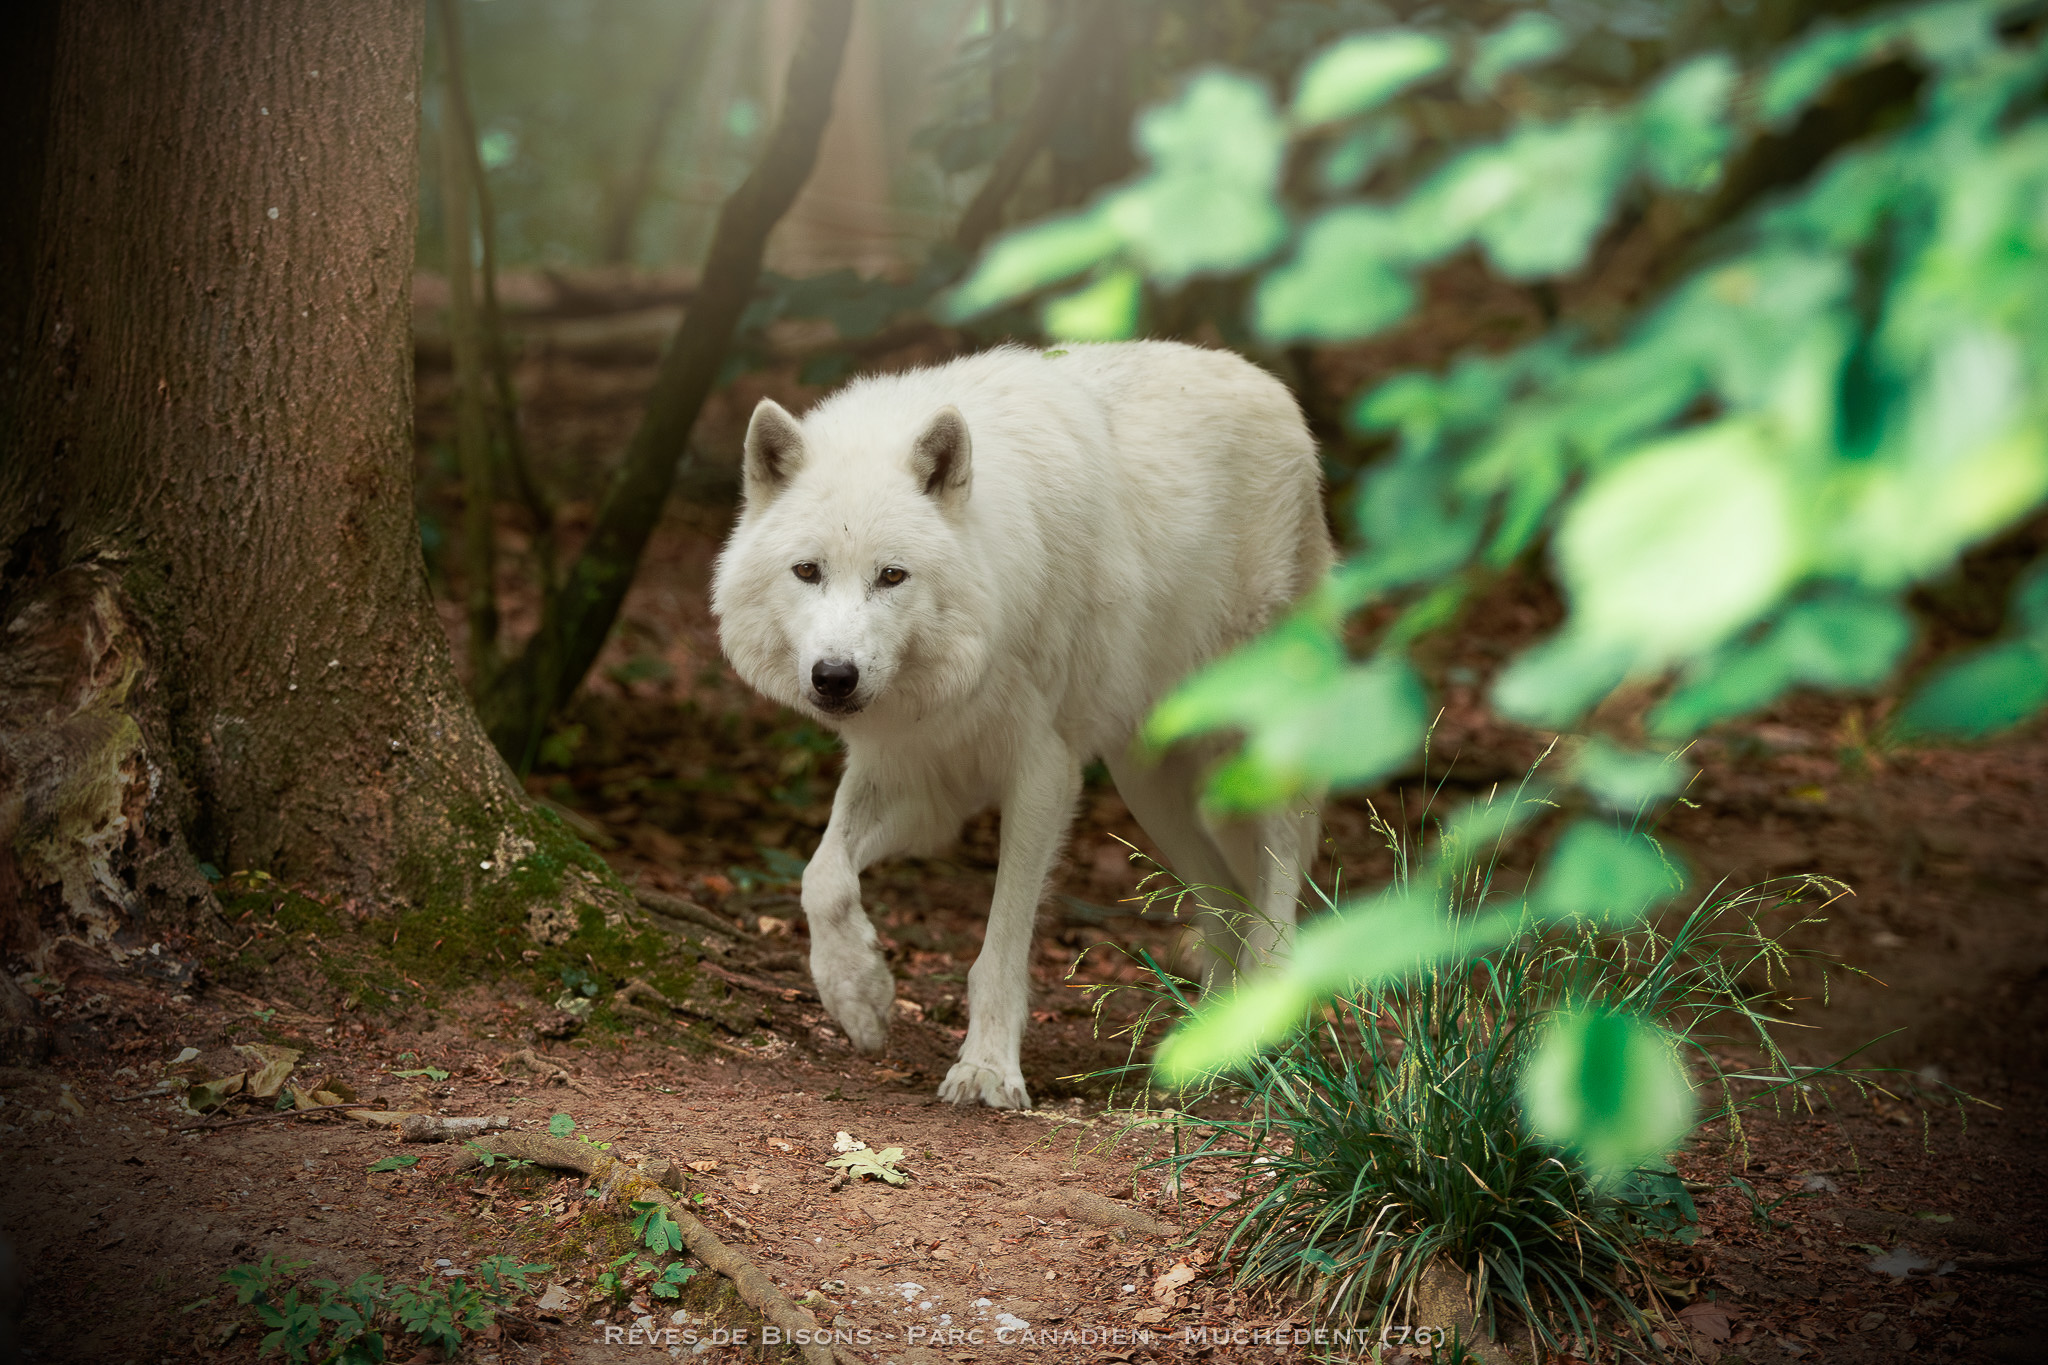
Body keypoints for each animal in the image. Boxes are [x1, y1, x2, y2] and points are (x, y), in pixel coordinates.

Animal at [711, 341, 1334, 1108]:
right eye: (807, 571)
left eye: (892, 576)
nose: (834, 676)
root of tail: (1273, 390)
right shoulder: (918, 775)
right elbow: (820, 874)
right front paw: (860, 995)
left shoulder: (1043, 774)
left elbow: (1001, 945)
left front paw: (985, 1069)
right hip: (1147, 783)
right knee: (1223, 898)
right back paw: (1206, 1052)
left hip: (1240, 744)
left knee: (1278, 879)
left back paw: (1269, 1029)